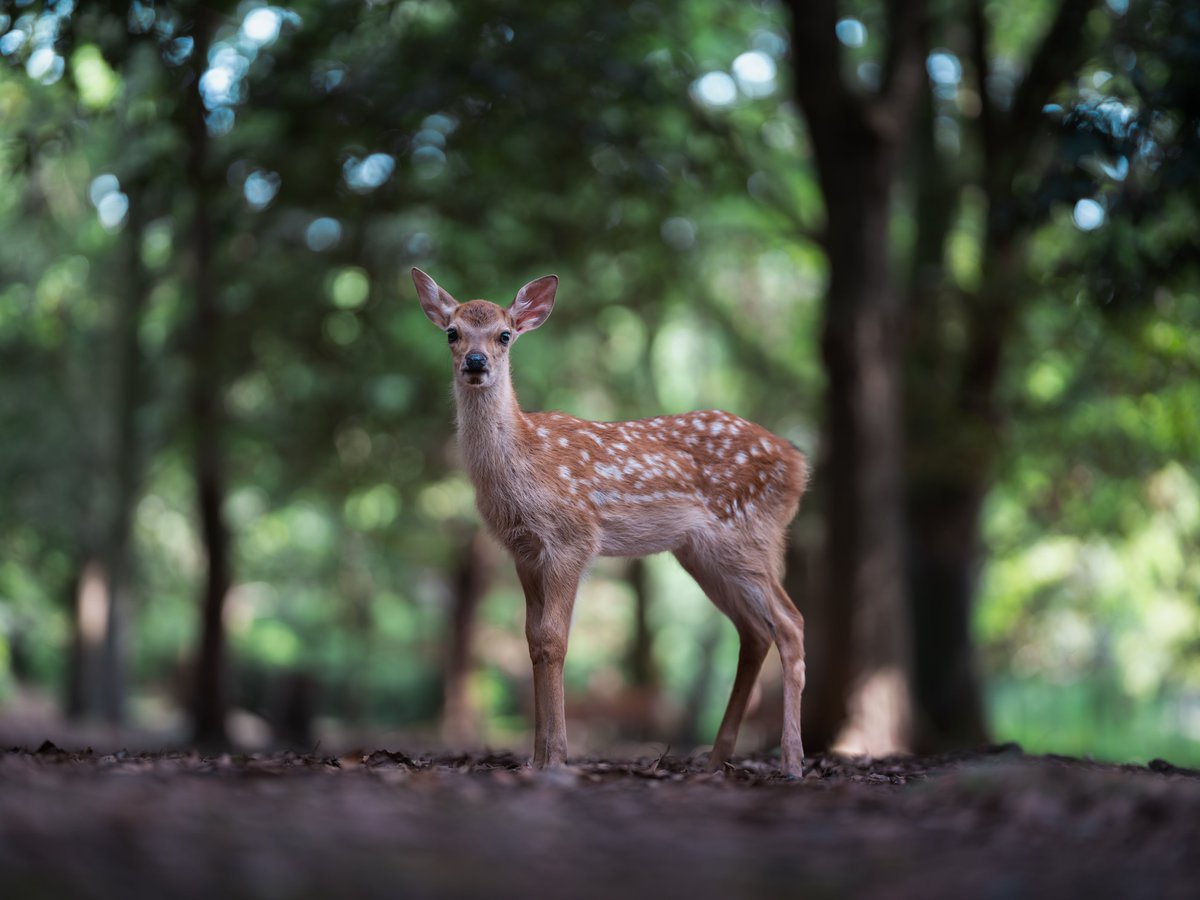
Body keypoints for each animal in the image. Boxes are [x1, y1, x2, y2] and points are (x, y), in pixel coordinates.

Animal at [412, 268, 810, 776]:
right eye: (452, 332)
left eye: (504, 334)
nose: (476, 362)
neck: (525, 458)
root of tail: (798, 464)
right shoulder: (524, 551)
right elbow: (531, 640)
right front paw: (535, 758)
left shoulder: (573, 538)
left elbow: (554, 639)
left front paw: (556, 759)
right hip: (703, 553)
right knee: (756, 632)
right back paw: (715, 759)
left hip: (748, 534)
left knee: (790, 623)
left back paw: (792, 761)